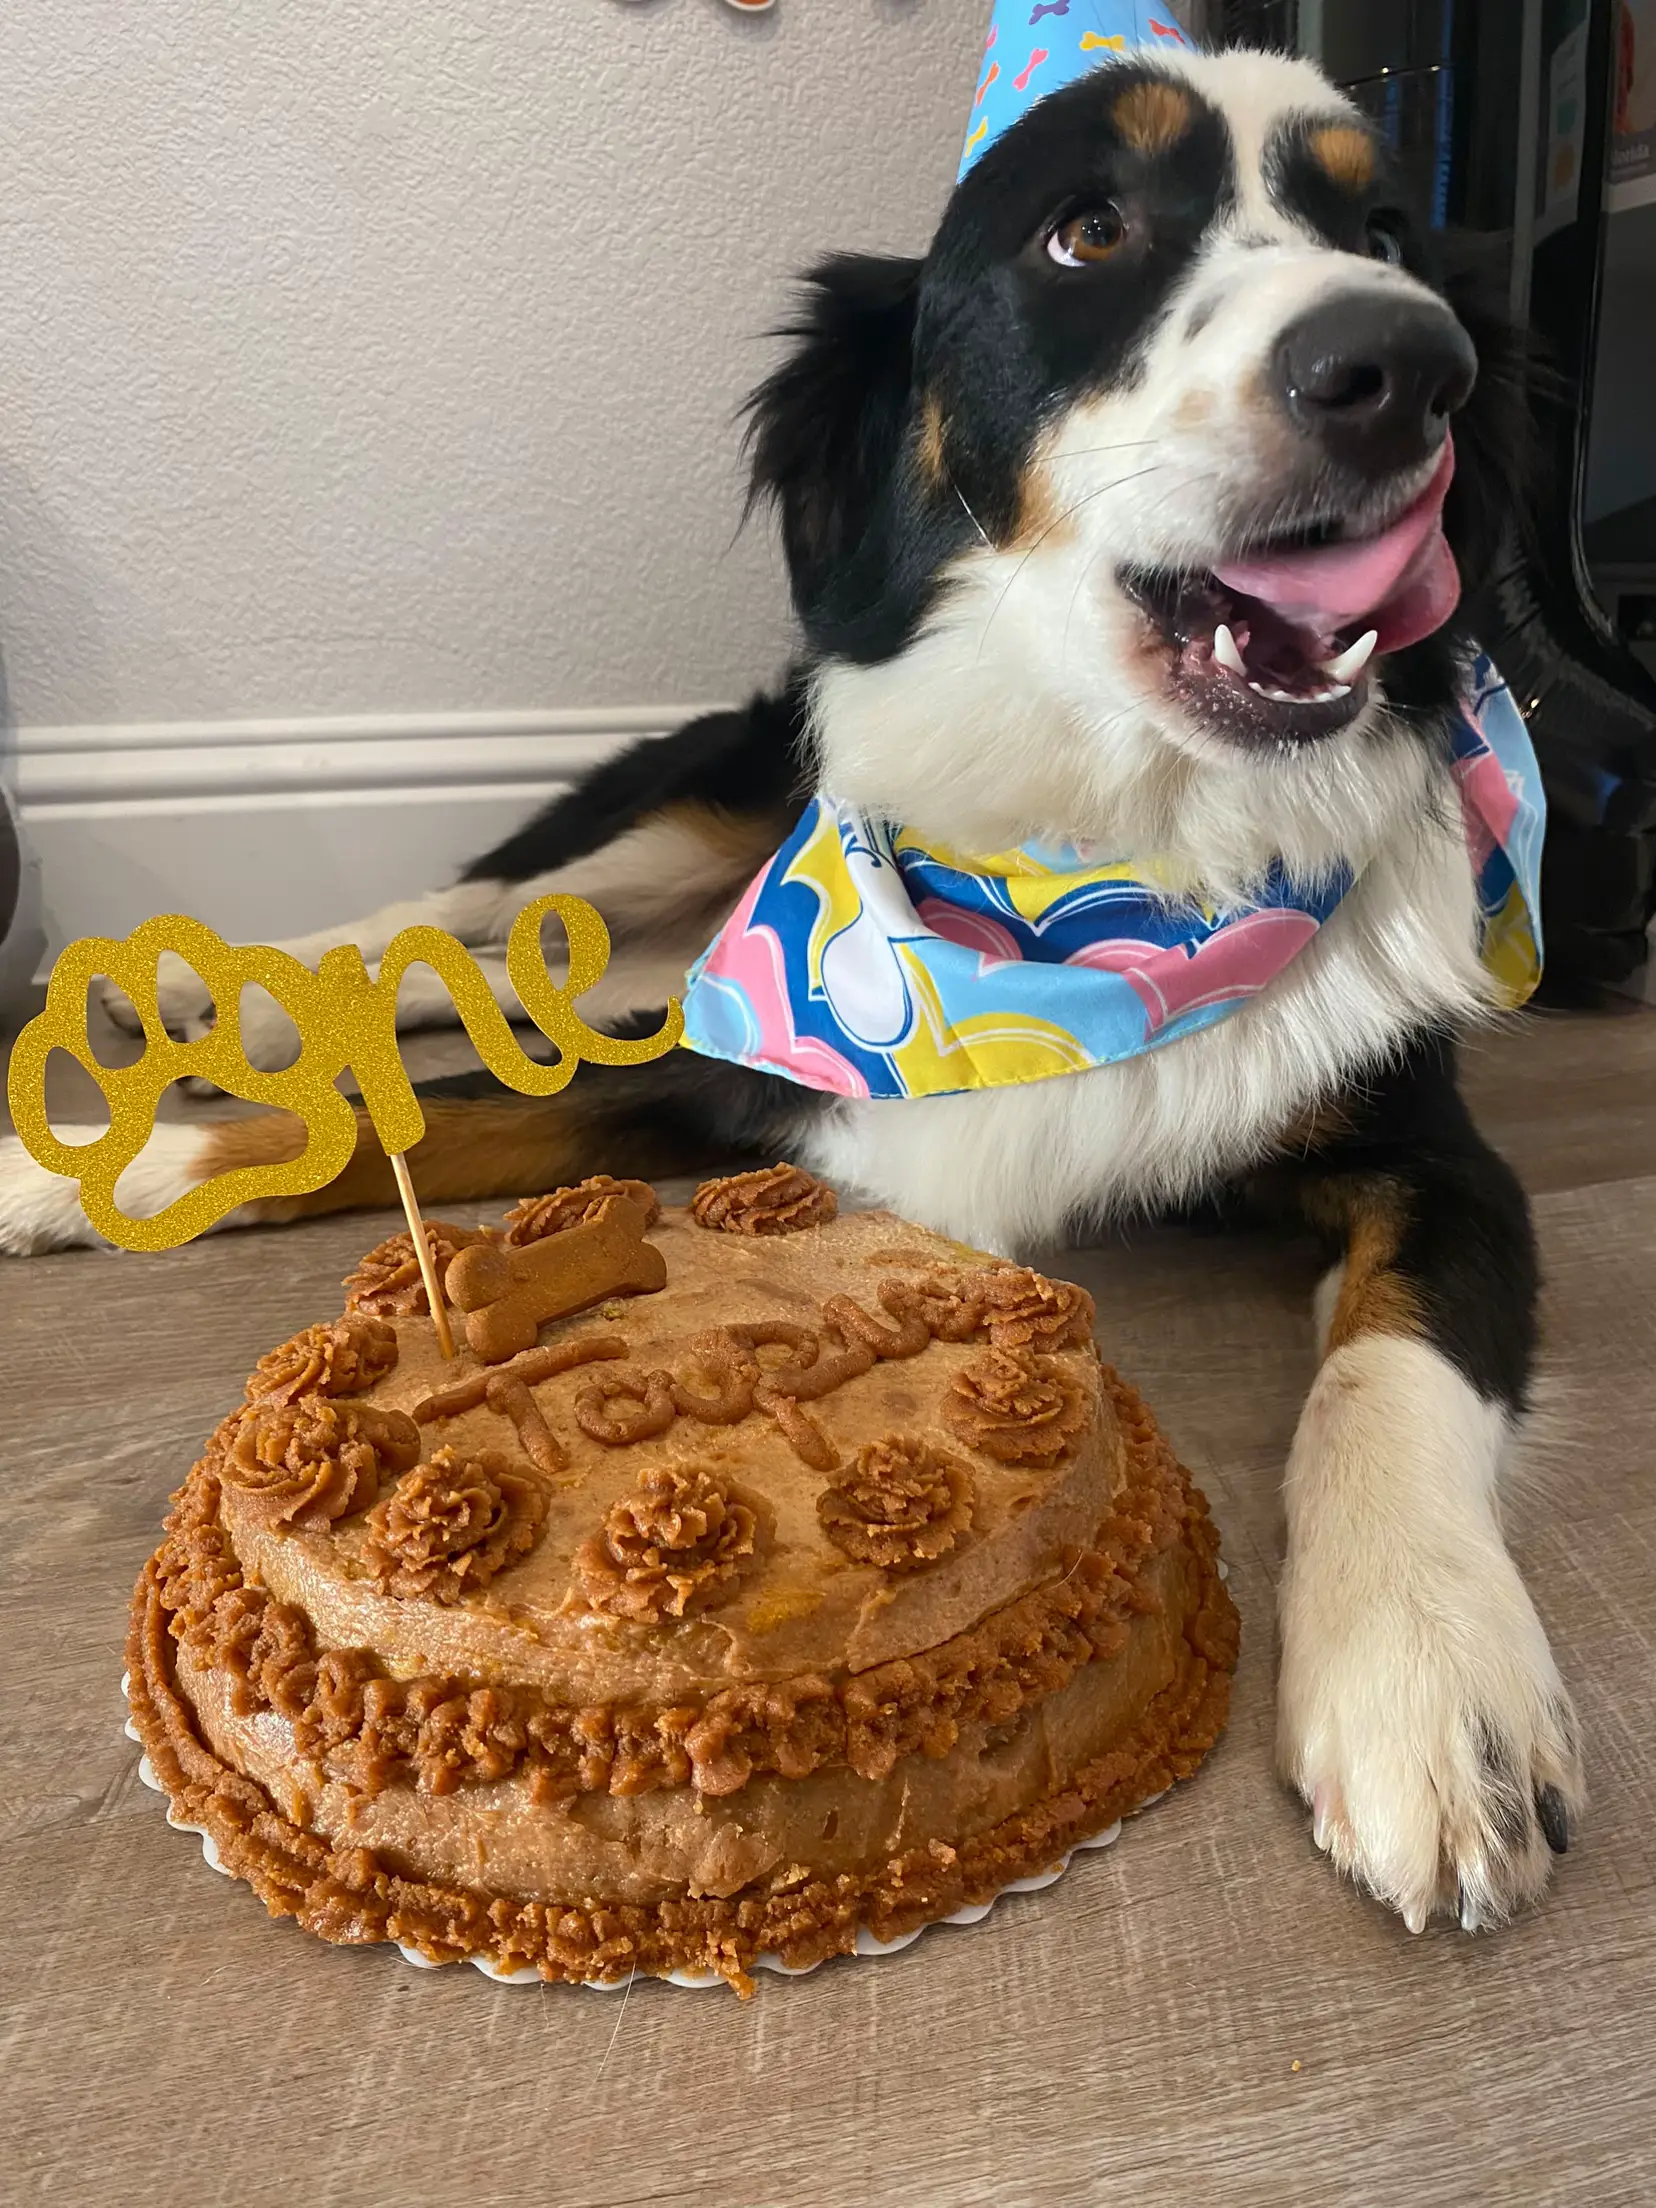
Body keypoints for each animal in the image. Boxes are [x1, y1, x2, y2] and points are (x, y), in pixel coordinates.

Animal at [0, 38, 1580, 1934]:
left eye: (1390, 230)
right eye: (1087, 228)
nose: (1405, 364)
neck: (1105, 861)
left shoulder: (1437, 1158)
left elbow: (1390, 1370)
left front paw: (1428, 1683)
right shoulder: (731, 1066)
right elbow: (448, 1118)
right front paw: (98, 1167)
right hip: (705, 797)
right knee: (486, 908)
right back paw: (224, 1004)